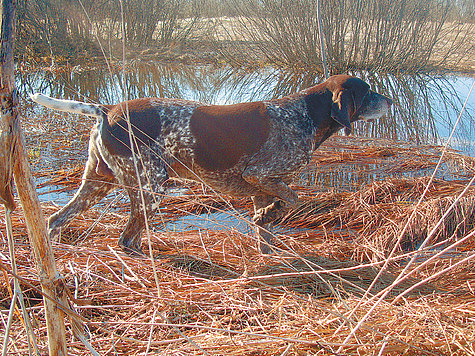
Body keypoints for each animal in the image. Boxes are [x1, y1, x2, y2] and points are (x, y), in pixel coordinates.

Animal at [30, 74, 394, 253]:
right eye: (368, 92)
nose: (390, 100)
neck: (304, 115)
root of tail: (108, 110)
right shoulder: (261, 175)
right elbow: (293, 200)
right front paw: (271, 217)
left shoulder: (261, 187)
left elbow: (266, 228)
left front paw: (269, 249)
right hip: (151, 187)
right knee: (126, 239)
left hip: (97, 183)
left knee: (55, 220)